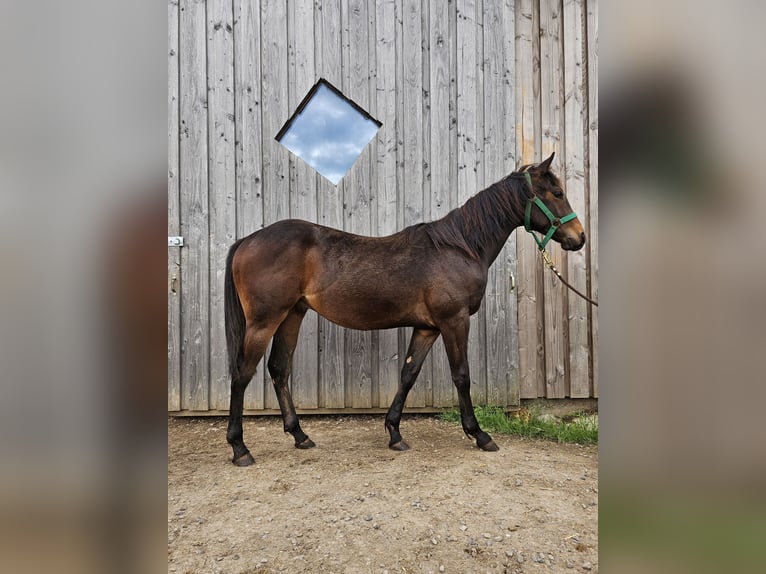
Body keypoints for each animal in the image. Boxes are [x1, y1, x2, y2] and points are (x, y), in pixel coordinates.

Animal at [225, 153, 584, 468]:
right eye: (557, 193)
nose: (579, 237)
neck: (460, 247)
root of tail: (248, 240)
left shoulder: (428, 327)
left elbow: (408, 374)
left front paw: (394, 433)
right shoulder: (454, 322)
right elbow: (462, 375)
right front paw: (479, 434)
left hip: (292, 315)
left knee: (279, 369)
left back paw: (300, 435)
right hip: (264, 320)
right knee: (242, 374)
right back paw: (240, 448)